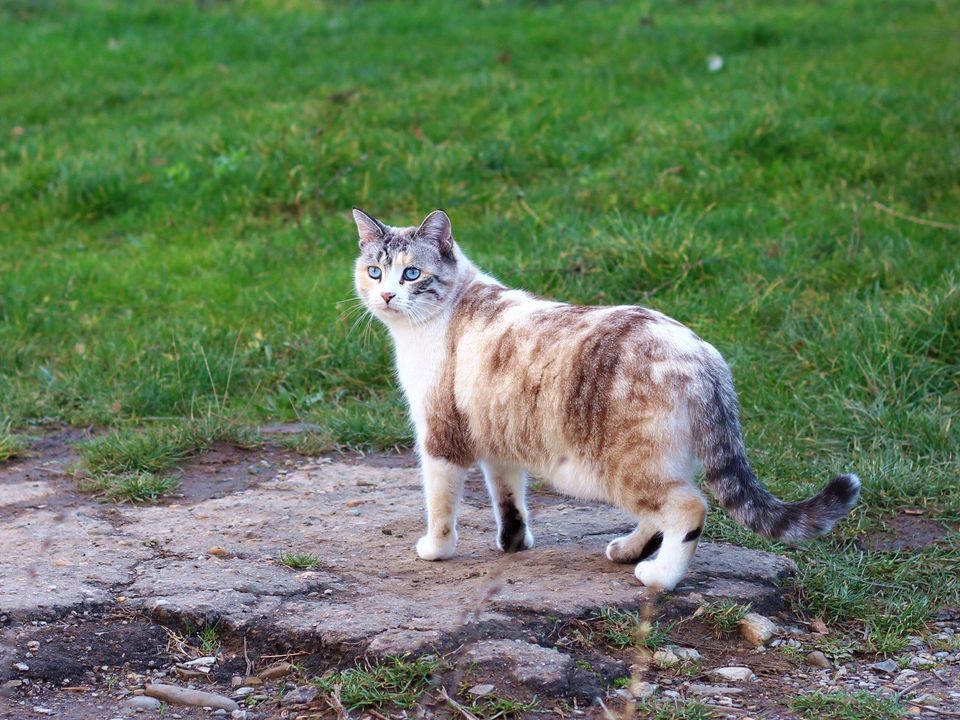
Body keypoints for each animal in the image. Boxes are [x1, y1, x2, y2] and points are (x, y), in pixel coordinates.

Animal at [348, 208, 860, 592]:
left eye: (412, 274)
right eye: (374, 271)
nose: (387, 295)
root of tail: (704, 355)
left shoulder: (438, 440)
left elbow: (440, 507)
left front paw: (435, 551)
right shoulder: (498, 439)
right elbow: (509, 500)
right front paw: (513, 544)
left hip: (613, 468)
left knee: (689, 508)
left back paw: (658, 576)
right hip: (646, 463)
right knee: (660, 512)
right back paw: (627, 550)